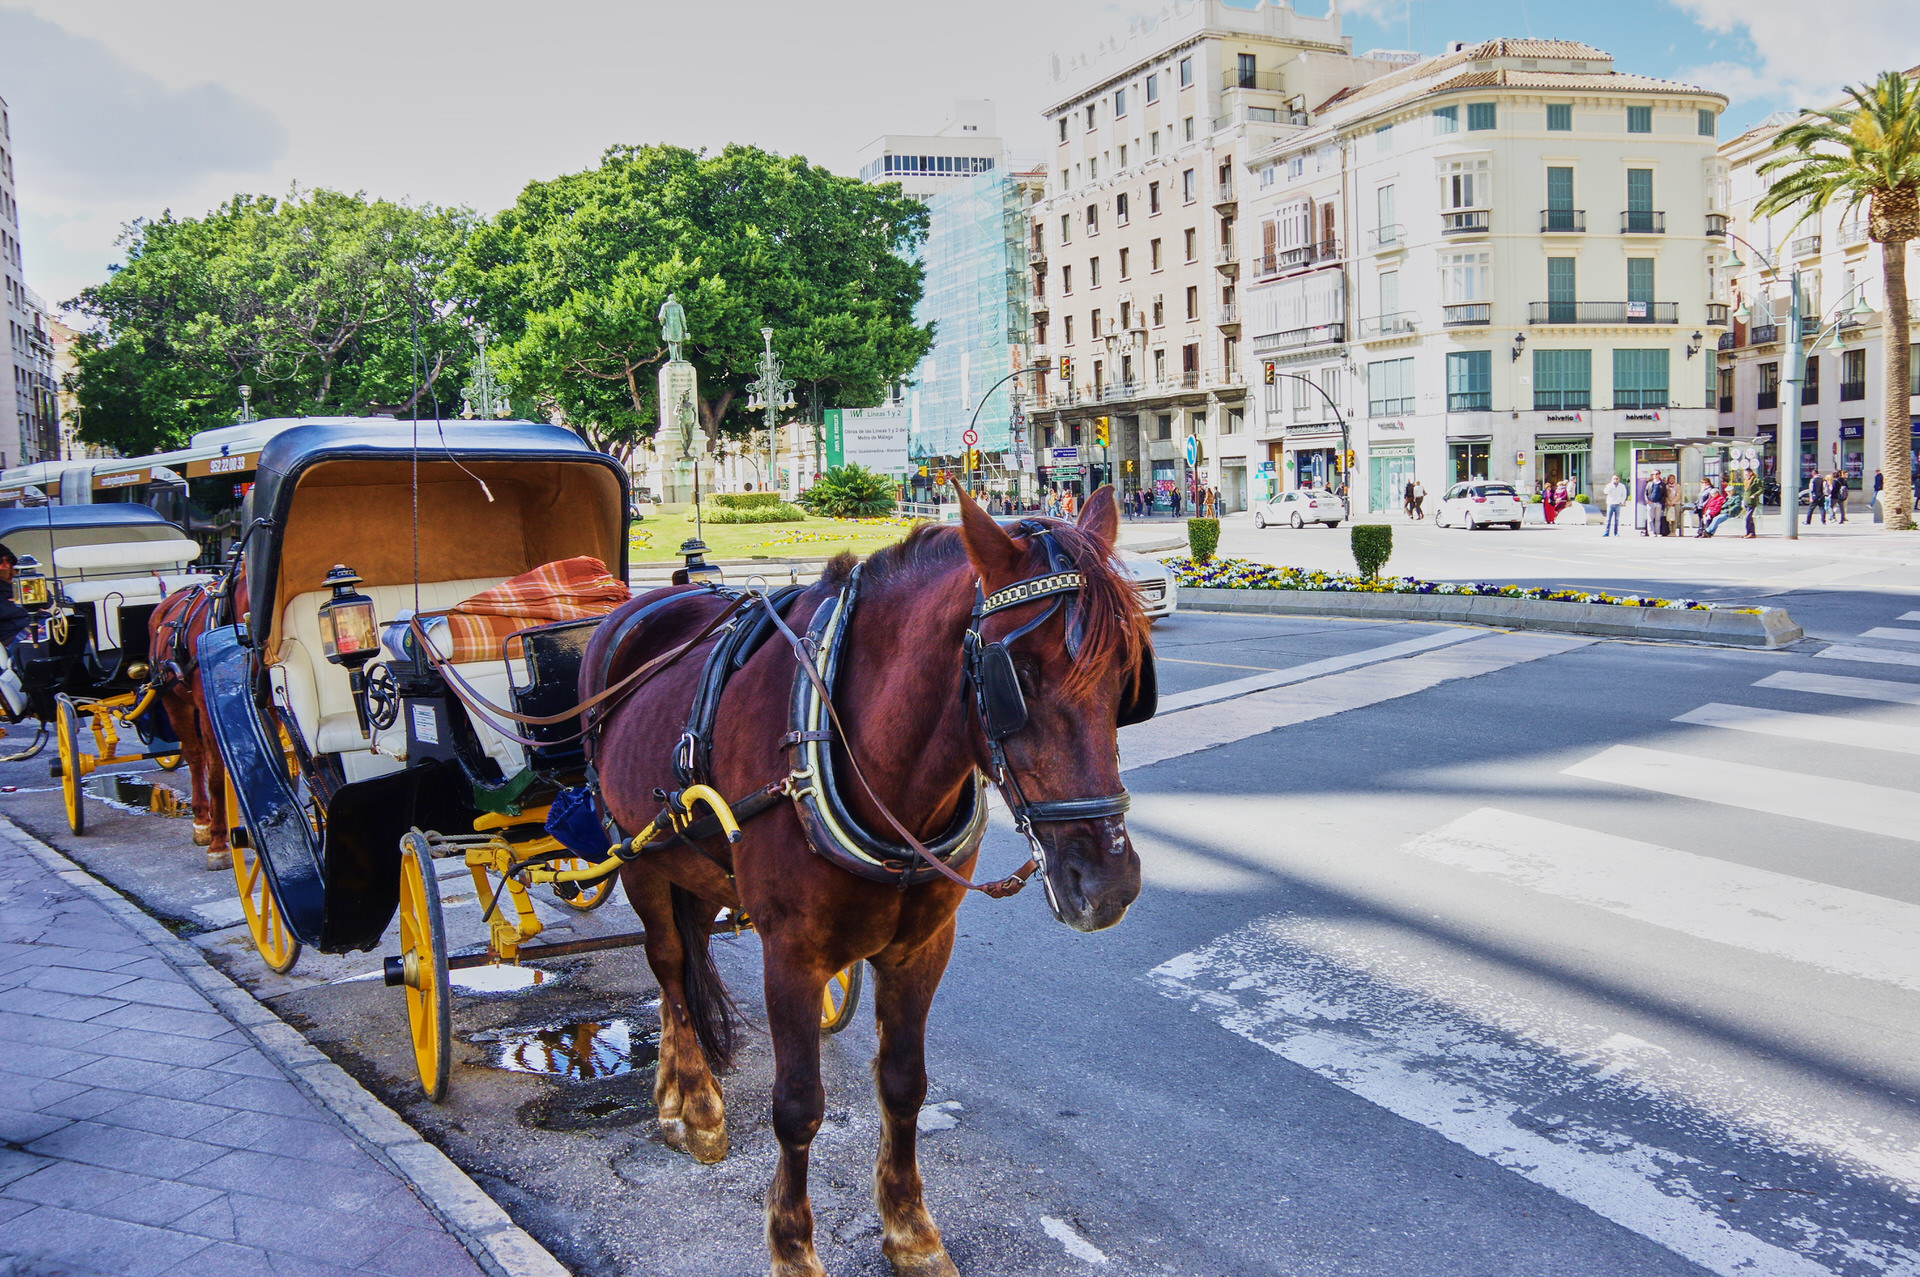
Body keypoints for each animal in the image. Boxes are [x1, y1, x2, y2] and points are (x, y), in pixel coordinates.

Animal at [591, 483, 1144, 1267]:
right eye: (1020, 676)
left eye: (1128, 673)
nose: (1107, 883)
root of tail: (636, 607)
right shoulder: (790, 954)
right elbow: (798, 1106)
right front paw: (792, 1245)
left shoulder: (922, 948)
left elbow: (904, 1085)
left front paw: (910, 1228)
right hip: (634, 851)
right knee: (668, 965)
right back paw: (691, 1102)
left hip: (692, 861)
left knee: (686, 964)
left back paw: (677, 1085)